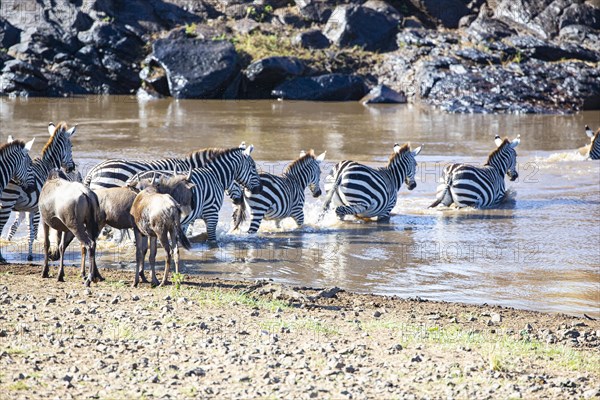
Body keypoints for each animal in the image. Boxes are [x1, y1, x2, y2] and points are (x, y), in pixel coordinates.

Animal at [0, 123, 77, 264]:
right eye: (71, 146)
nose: (72, 167)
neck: (48, 166)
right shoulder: (36, 208)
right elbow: (33, 231)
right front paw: (31, 256)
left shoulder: (27, 208)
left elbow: (24, 230)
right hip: (7, 202)